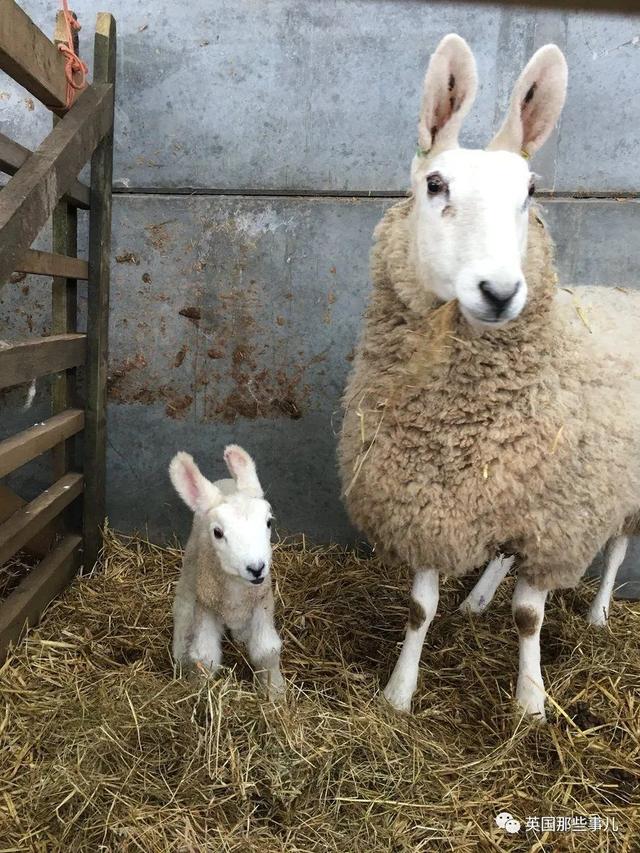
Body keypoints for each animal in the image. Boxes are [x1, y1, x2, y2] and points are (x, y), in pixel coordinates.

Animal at [169, 442, 284, 696]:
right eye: (217, 533)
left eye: (268, 522)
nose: (256, 568)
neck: (237, 591)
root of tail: (224, 481)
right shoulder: (205, 606)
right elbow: (204, 657)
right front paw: (199, 692)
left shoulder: (262, 603)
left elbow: (267, 651)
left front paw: (275, 692)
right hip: (191, 569)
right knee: (182, 608)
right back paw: (179, 652)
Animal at [338, 38, 636, 720]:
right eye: (435, 183)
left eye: (529, 190)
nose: (500, 292)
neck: (464, 424)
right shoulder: (430, 503)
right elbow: (419, 608)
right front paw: (399, 692)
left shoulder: (556, 520)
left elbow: (529, 617)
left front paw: (531, 703)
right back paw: (477, 599)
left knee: (618, 546)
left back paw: (600, 612)